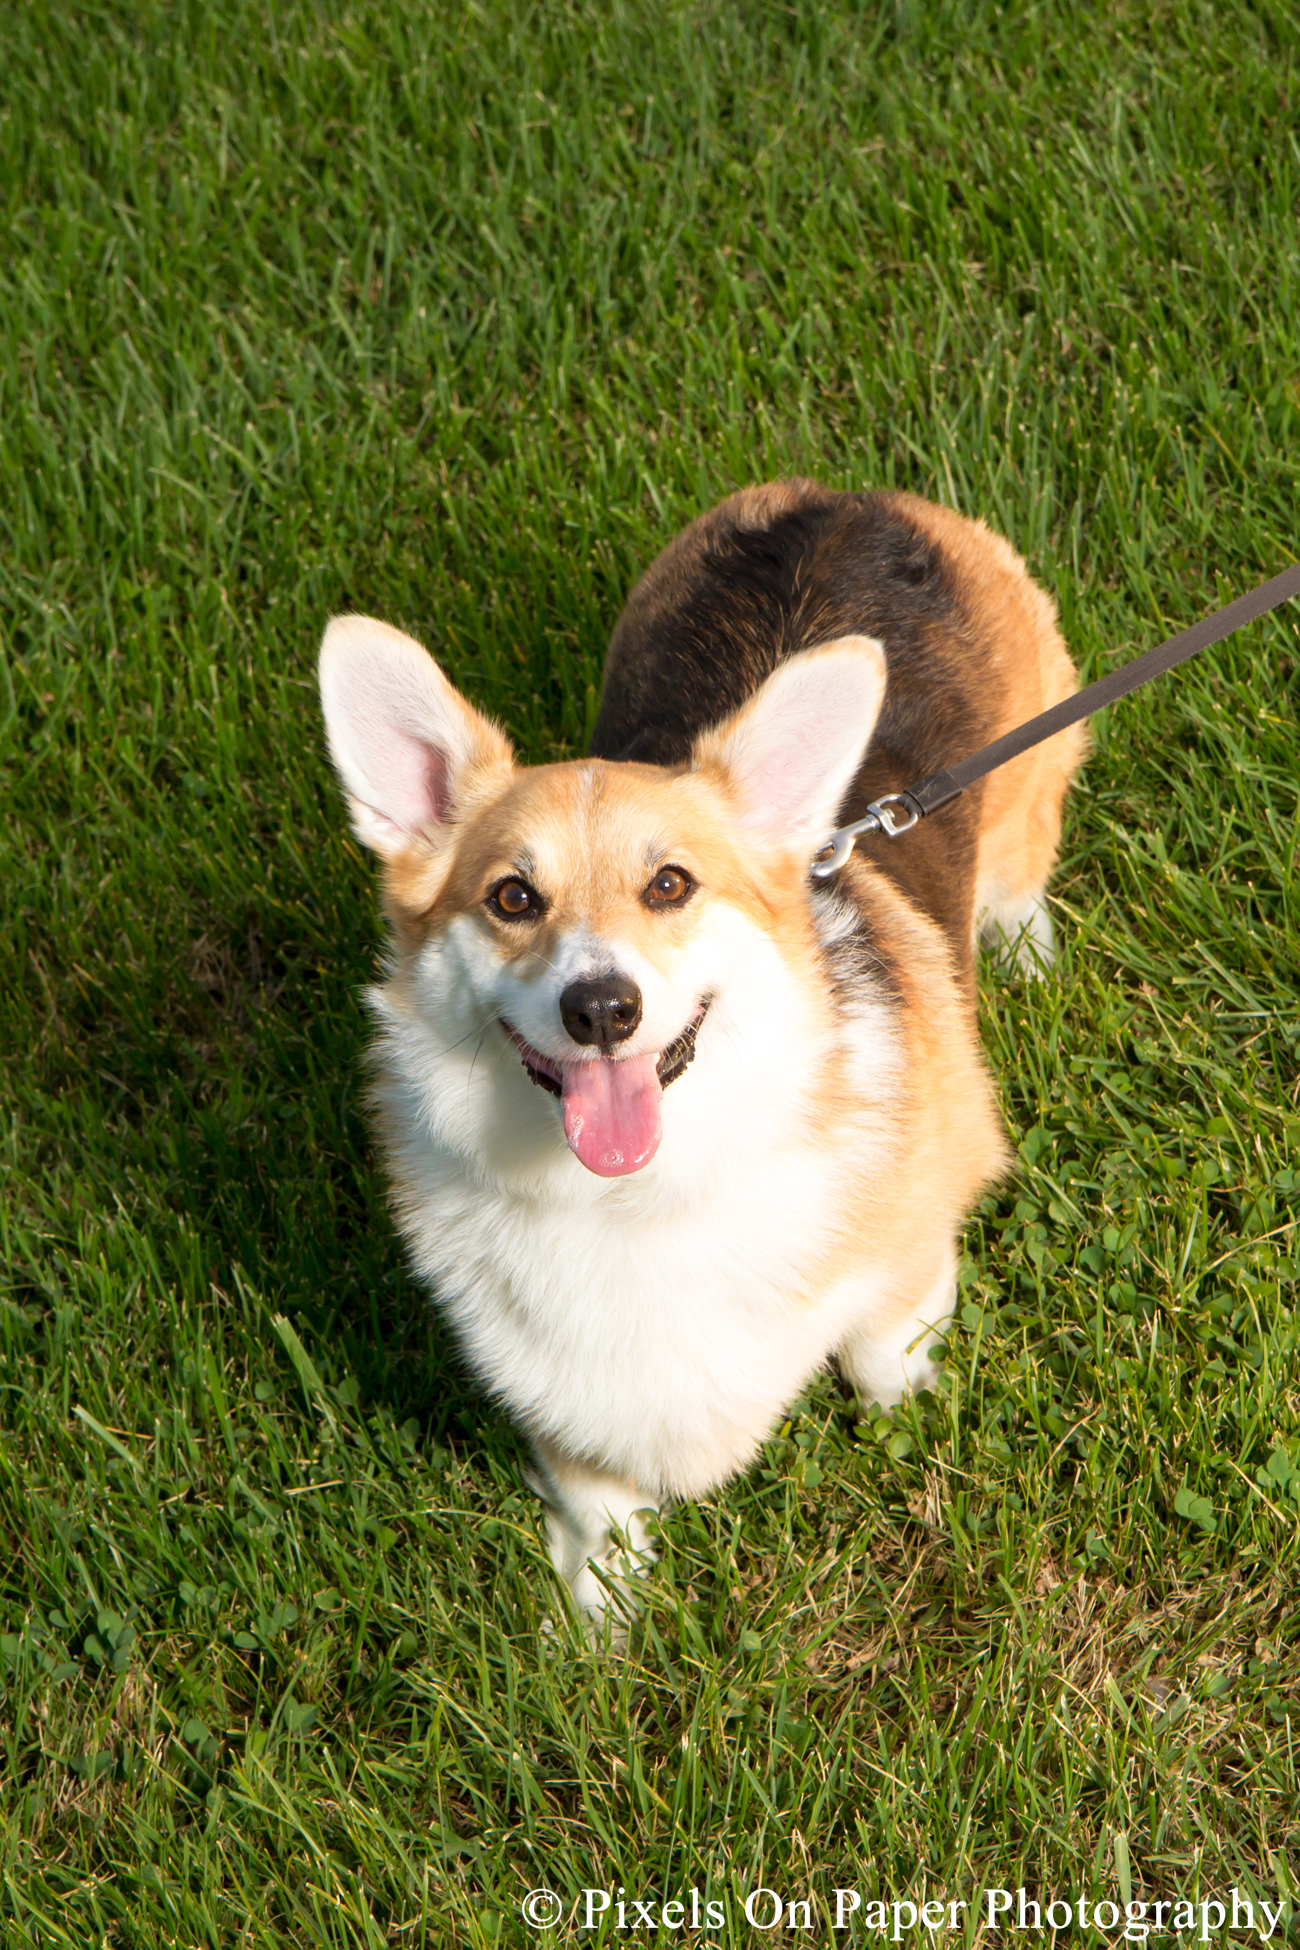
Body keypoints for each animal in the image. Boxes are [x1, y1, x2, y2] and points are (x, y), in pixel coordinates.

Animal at [317, 479, 1091, 1622]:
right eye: (513, 898)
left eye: (670, 885)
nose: (601, 1008)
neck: (635, 1197)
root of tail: (848, 497)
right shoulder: (561, 1391)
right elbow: (597, 1500)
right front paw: (598, 1621)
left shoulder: (906, 1261)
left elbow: (885, 1357)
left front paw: (909, 1427)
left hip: (1030, 769)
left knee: (1020, 861)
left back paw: (1020, 944)